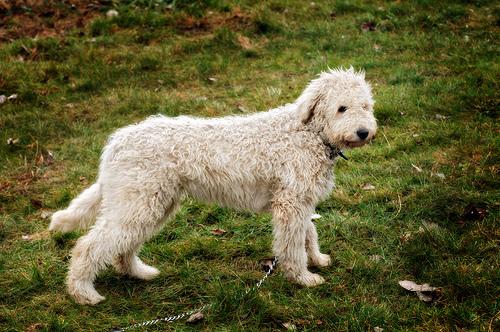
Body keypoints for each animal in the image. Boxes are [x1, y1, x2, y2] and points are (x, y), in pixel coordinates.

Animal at [50, 68, 376, 306]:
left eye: (365, 106)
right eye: (341, 108)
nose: (364, 132)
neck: (309, 133)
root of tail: (116, 142)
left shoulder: (298, 200)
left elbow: (308, 233)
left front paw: (317, 260)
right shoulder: (291, 203)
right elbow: (293, 244)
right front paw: (302, 278)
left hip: (149, 205)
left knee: (122, 247)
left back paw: (139, 273)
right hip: (137, 203)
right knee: (89, 246)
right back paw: (83, 293)